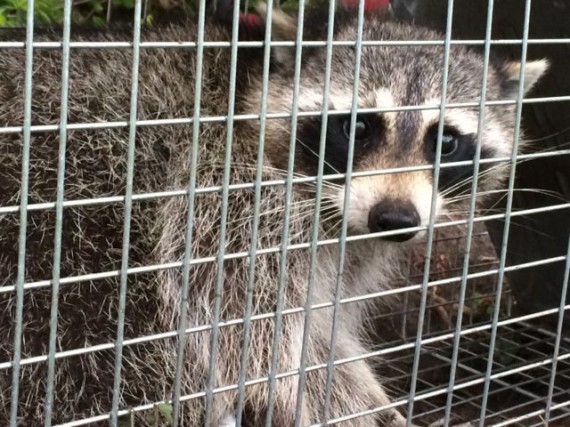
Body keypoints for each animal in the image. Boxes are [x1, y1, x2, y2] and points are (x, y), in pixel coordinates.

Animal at [0, 3, 544, 427]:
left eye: (446, 141)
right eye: (358, 128)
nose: (394, 218)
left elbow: (317, 333)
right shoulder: (227, 195)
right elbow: (254, 339)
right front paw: (348, 405)